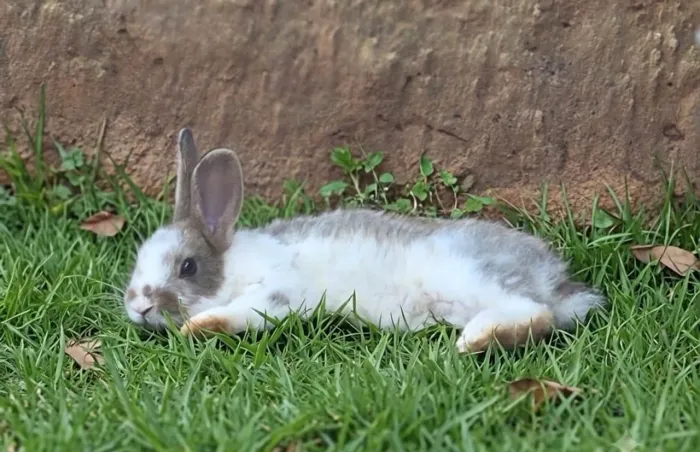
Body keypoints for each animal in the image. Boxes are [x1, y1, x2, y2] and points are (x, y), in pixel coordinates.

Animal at [123, 128, 605, 353]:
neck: (233, 265)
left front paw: (196, 327)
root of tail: (556, 282)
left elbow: (240, 312)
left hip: (471, 275)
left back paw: (474, 340)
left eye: (187, 266)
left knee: (536, 313)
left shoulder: (279, 290)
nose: (139, 306)